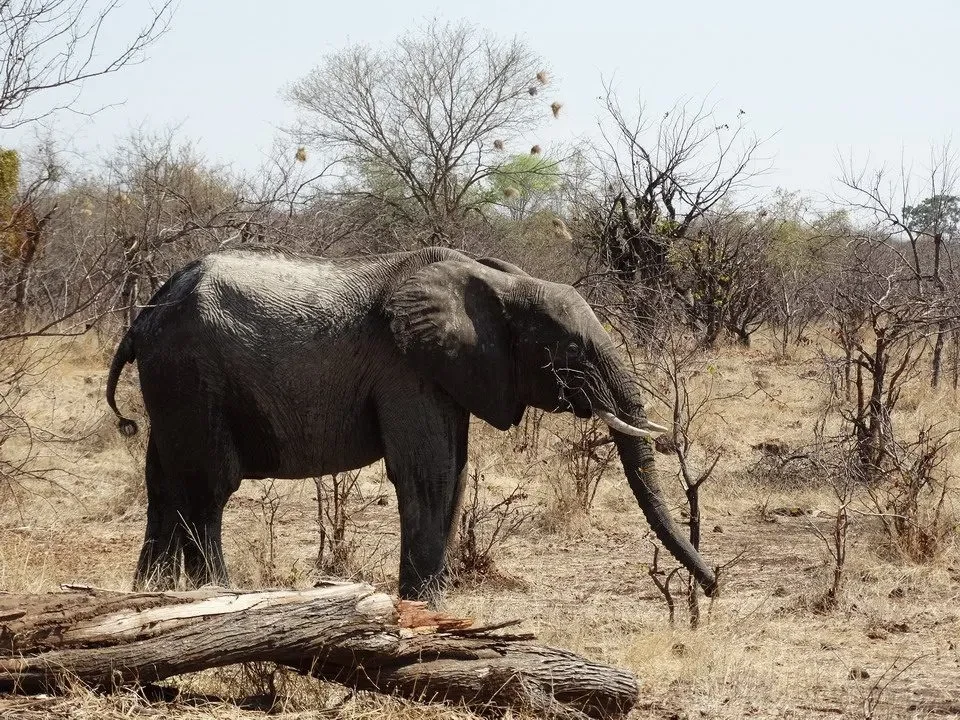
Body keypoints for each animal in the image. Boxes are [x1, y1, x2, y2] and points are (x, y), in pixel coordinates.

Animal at [106, 246, 718, 601]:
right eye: (570, 351)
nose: (712, 588)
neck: (500, 284)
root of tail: (146, 314)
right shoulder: (406, 368)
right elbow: (430, 474)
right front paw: (422, 612)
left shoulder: (449, 373)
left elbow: (456, 473)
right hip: (193, 376)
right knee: (208, 487)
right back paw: (219, 597)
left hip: (173, 385)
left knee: (163, 484)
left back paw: (147, 597)